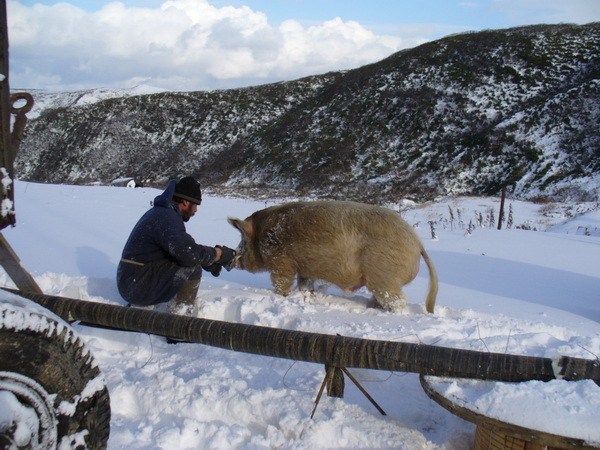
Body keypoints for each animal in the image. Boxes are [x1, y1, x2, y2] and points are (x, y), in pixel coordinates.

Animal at [227, 200, 438, 312]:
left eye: (243, 241)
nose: (233, 259)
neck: (265, 235)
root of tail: (417, 243)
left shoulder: (282, 263)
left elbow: (281, 283)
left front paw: (282, 296)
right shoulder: (305, 270)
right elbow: (305, 285)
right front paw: (307, 297)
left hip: (385, 277)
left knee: (398, 302)